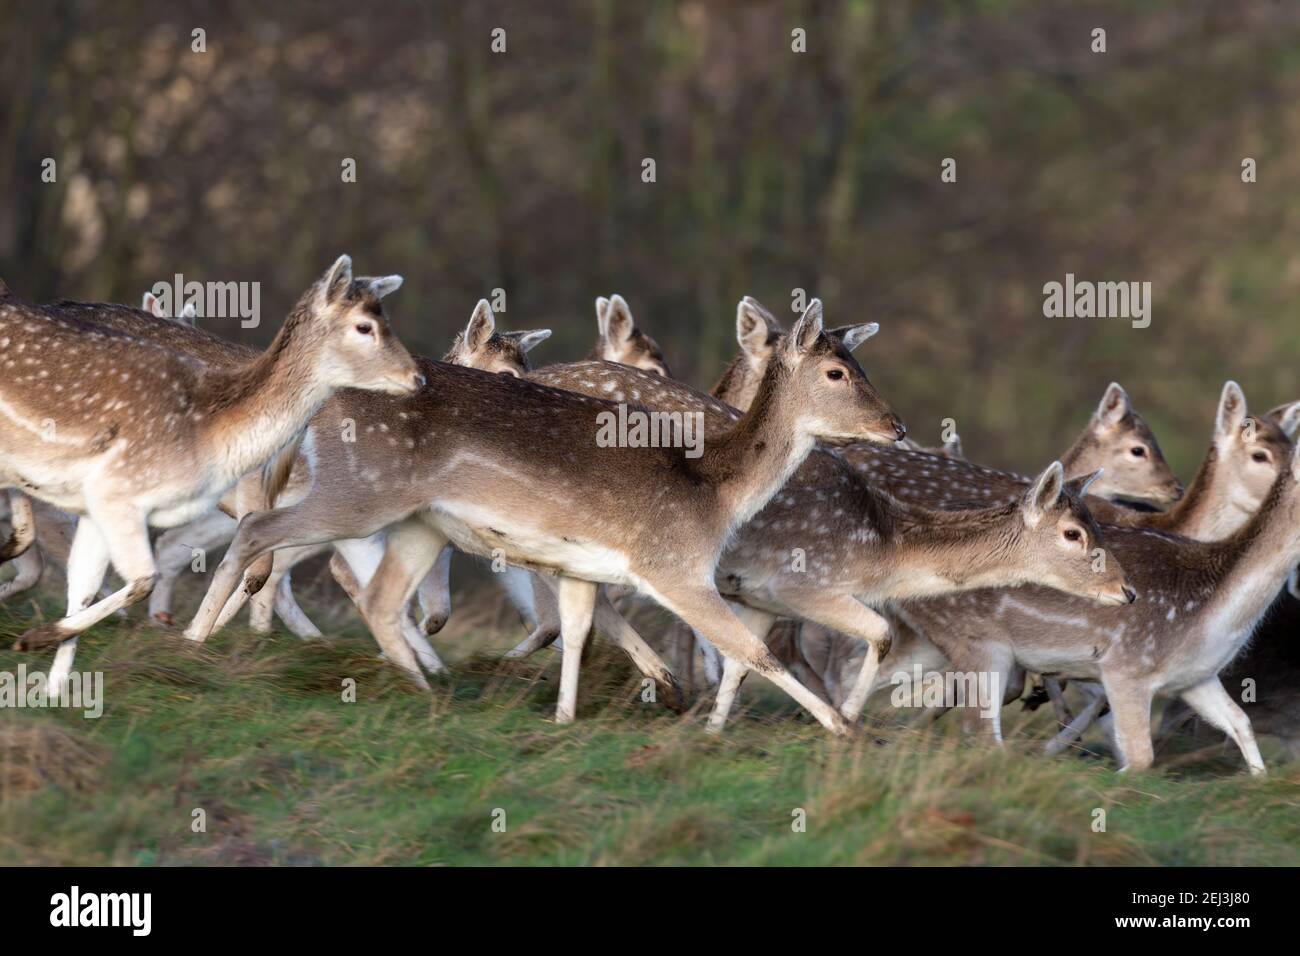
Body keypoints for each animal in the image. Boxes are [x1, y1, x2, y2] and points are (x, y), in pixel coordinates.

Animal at [183, 298, 908, 734]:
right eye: (838, 371)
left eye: (861, 362)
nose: (896, 426)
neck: (716, 490)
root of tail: (327, 401)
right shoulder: (674, 565)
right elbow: (752, 649)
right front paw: (843, 727)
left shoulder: (583, 564)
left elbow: (578, 629)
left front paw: (564, 715)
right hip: (361, 493)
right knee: (261, 531)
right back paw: (194, 641)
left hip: (419, 522)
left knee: (380, 597)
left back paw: (423, 689)